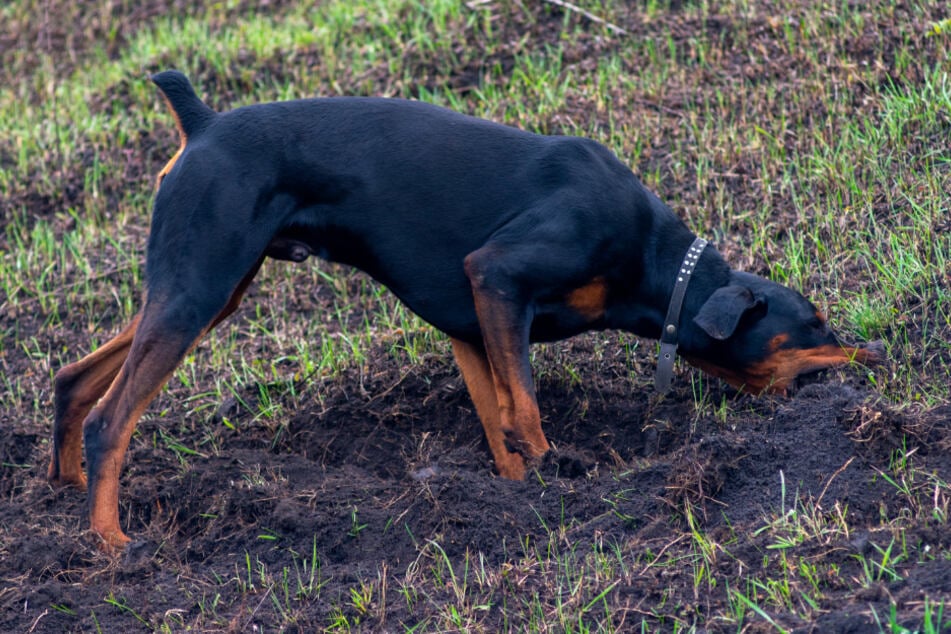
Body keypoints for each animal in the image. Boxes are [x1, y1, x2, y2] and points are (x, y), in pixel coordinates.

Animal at [50, 70, 884, 548]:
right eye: (813, 322)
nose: (876, 353)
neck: (657, 263)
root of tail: (203, 122)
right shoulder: (496, 278)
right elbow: (527, 408)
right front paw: (557, 478)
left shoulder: (472, 323)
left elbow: (499, 419)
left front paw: (510, 503)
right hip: (199, 286)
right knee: (112, 419)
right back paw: (110, 542)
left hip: (210, 287)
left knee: (73, 377)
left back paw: (60, 491)